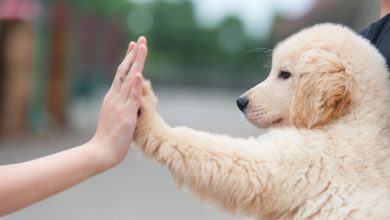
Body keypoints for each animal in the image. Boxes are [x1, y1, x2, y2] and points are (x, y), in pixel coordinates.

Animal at [134, 23, 390, 219]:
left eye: (284, 74)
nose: (240, 101)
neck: (351, 119)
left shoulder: (297, 164)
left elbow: (214, 150)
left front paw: (149, 118)